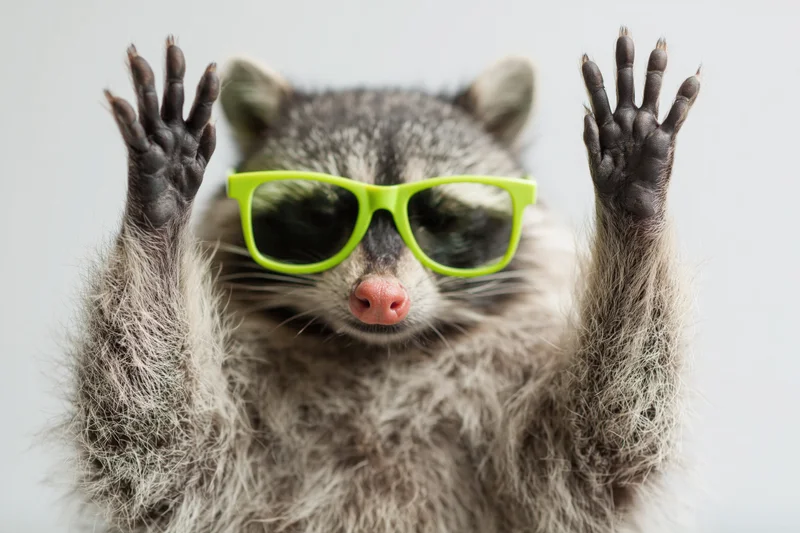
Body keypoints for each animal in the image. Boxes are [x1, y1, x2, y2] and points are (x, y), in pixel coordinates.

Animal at [64, 28, 701, 533]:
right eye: (327, 216)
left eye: (435, 218)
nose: (378, 297)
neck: (377, 358)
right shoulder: (221, 464)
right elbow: (157, 445)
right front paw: (158, 215)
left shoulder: (534, 456)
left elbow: (602, 442)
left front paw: (633, 208)